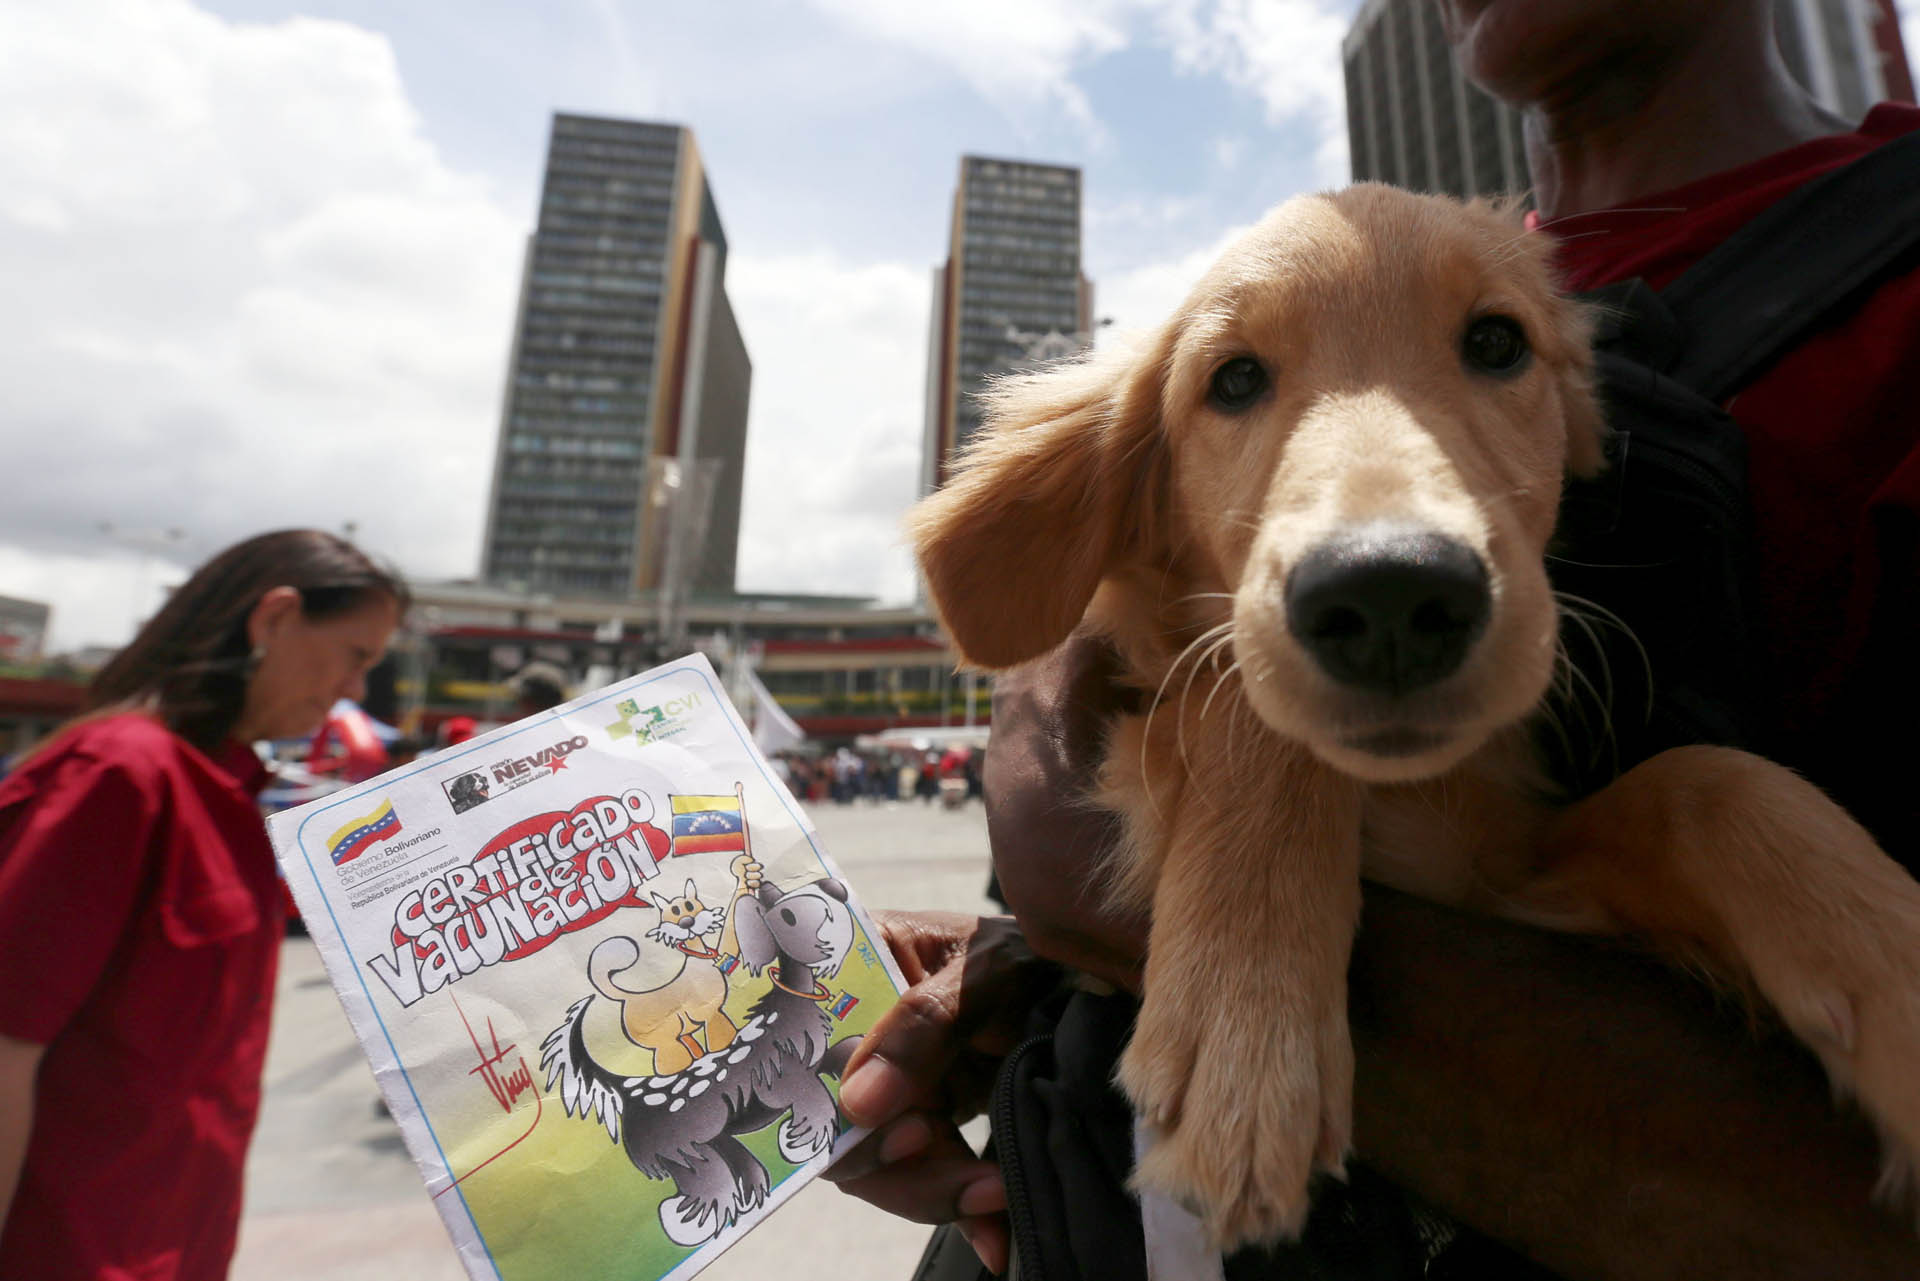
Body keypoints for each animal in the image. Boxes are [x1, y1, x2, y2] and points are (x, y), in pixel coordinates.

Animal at [906, 185, 1920, 1244]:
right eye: (1234, 379)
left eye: (1497, 341)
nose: (1391, 593)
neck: (1415, 791)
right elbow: (1252, 711)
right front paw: (1245, 1030)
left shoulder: (1512, 873)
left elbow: (1709, 776)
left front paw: (1895, 974)